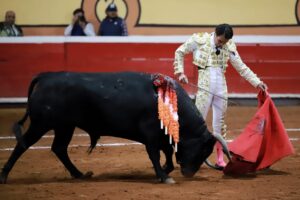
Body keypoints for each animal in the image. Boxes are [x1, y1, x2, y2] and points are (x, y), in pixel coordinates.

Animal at [0, 72, 230, 184]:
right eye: (204, 149)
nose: (189, 173)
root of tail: (45, 77)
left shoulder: (162, 136)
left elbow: (167, 155)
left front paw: (164, 171)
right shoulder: (151, 135)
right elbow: (156, 155)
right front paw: (164, 176)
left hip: (65, 126)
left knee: (59, 148)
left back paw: (80, 174)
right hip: (41, 124)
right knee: (23, 145)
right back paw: (4, 176)